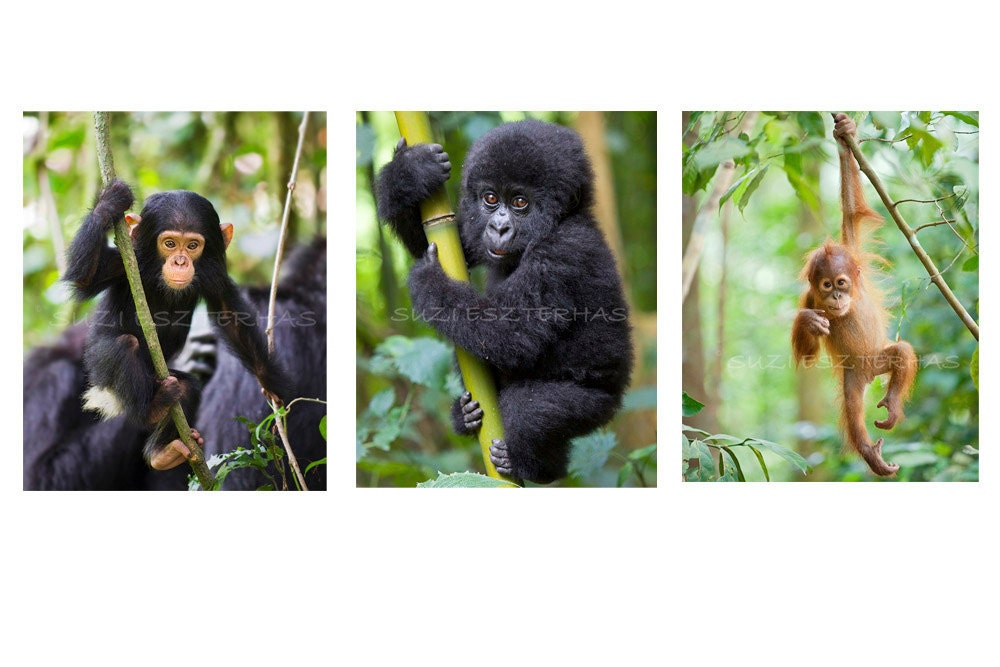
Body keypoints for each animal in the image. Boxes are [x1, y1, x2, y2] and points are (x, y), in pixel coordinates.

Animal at [791, 113, 918, 477]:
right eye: (826, 286)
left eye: (842, 283)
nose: (835, 299)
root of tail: (869, 373)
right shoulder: (810, 299)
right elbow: (807, 353)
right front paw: (809, 322)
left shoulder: (853, 249)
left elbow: (850, 211)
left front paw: (845, 132)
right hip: (853, 377)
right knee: (851, 409)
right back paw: (870, 453)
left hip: (878, 357)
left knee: (902, 352)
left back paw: (891, 406)